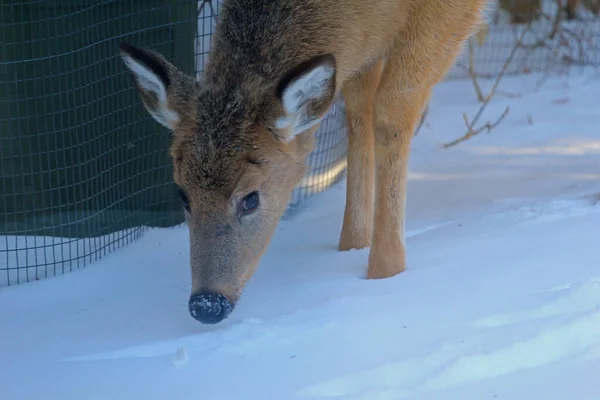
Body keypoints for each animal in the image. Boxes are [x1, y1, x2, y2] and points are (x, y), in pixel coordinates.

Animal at [119, 0, 490, 324]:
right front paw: (352, 245)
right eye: (182, 195)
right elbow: (358, 109)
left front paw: (385, 274)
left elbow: (392, 108)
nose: (207, 304)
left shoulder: (448, 10)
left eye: (251, 199)